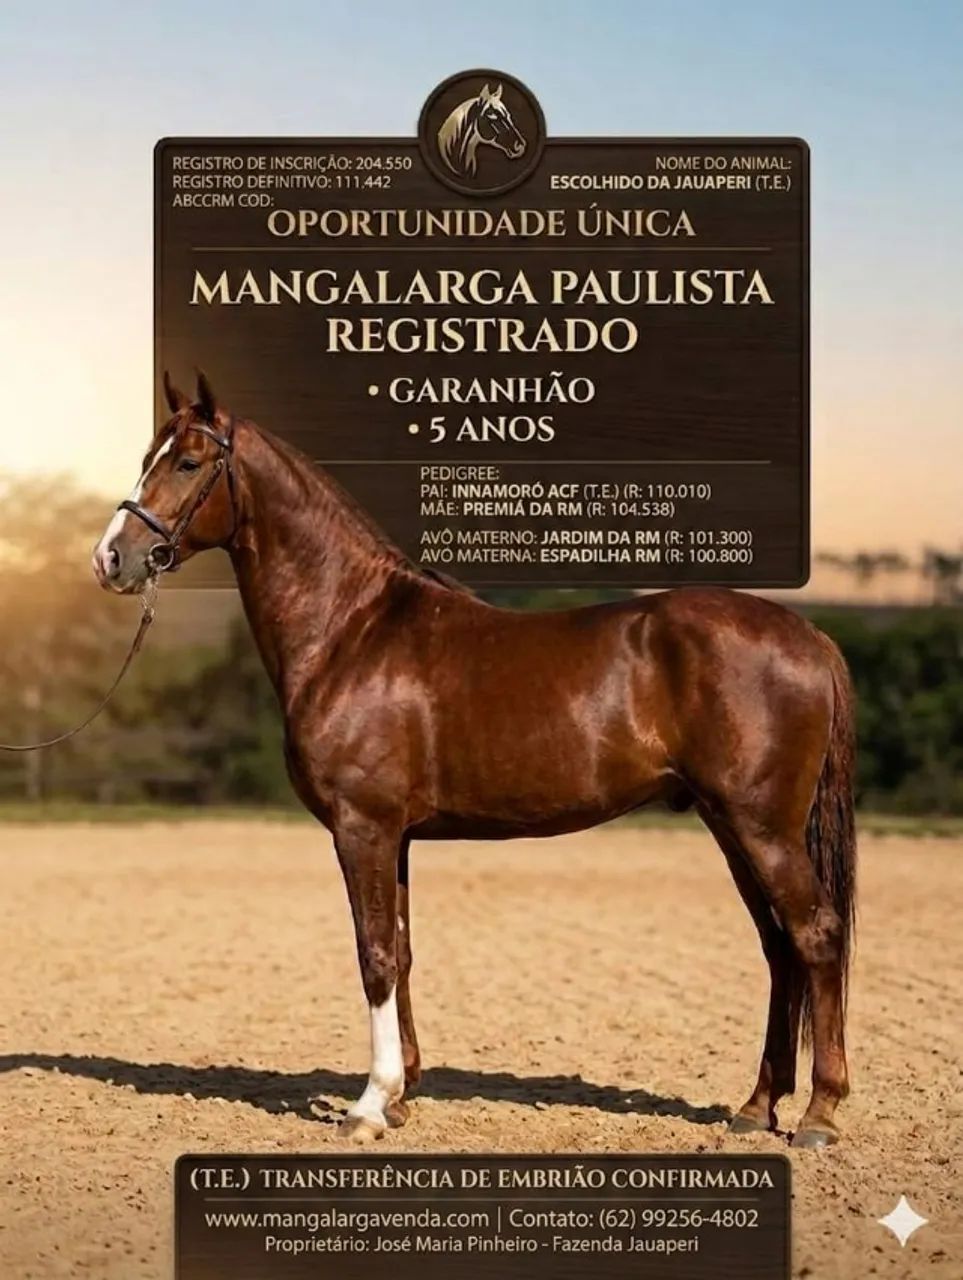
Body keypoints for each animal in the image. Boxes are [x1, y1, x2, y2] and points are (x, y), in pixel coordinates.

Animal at [93, 373, 856, 1149]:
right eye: (148, 456)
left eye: (188, 462)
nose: (112, 559)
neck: (349, 629)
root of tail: (808, 636)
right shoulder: (394, 836)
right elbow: (400, 952)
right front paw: (401, 1095)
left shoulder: (362, 829)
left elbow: (372, 955)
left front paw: (368, 1105)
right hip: (731, 827)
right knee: (779, 949)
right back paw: (755, 1107)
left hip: (760, 828)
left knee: (816, 936)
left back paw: (818, 1114)